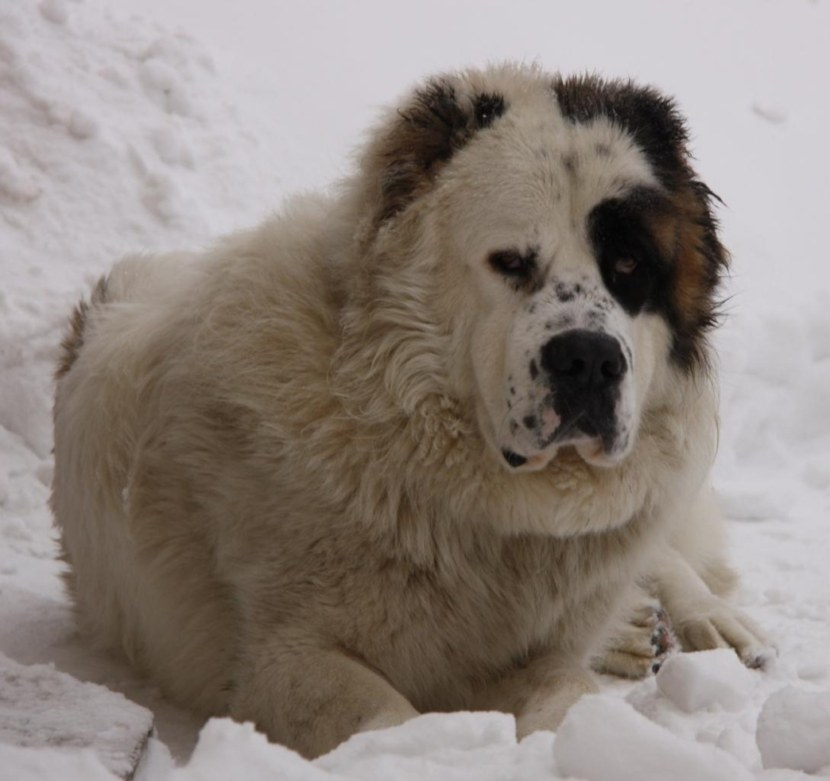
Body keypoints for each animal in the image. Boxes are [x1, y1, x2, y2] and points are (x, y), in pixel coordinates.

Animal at [52, 64, 772, 760]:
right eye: (511, 262)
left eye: (628, 265)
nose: (589, 359)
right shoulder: (284, 655)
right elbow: (384, 719)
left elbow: (568, 689)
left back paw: (710, 622)